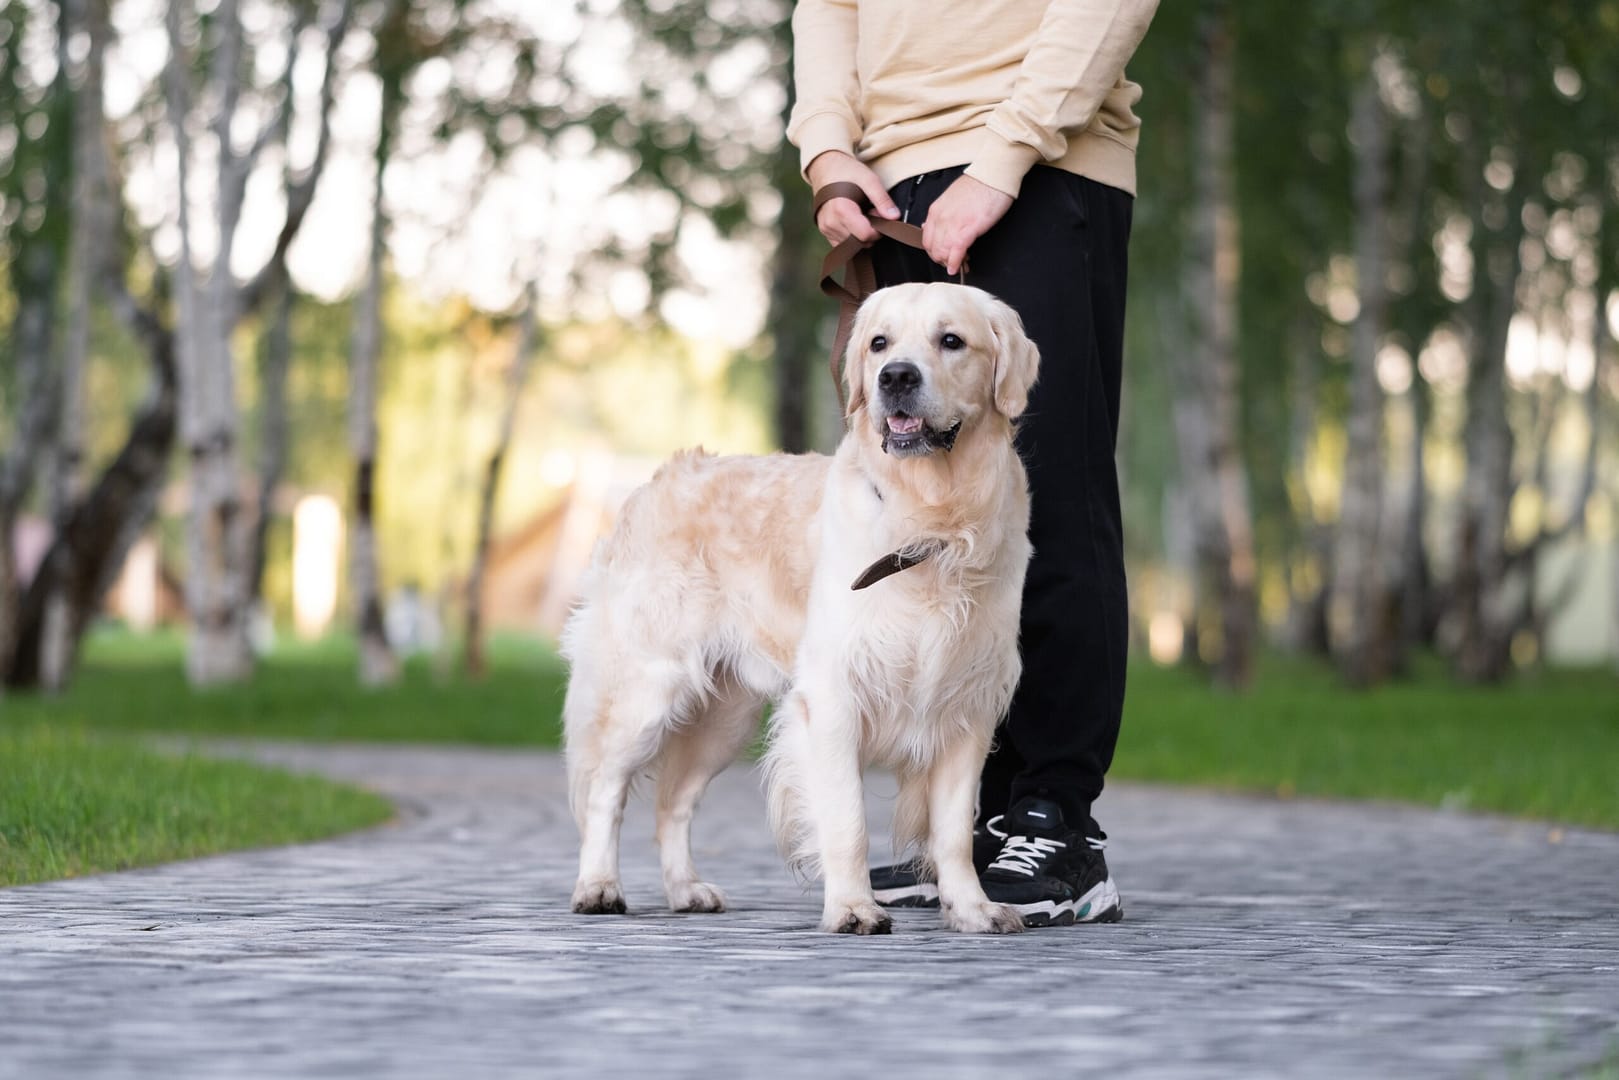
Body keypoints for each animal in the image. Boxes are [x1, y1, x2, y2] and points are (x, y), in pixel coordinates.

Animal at [556, 283, 1036, 932]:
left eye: (952, 340)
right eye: (878, 342)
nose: (895, 377)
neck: (931, 524)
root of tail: (657, 480)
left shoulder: (967, 705)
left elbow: (955, 831)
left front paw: (972, 908)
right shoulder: (833, 699)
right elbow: (847, 820)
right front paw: (853, 907)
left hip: (724, 716)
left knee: (673, 803)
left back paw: (686, 889)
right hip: (644, 688)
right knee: (605, 790)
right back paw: (599, 886)